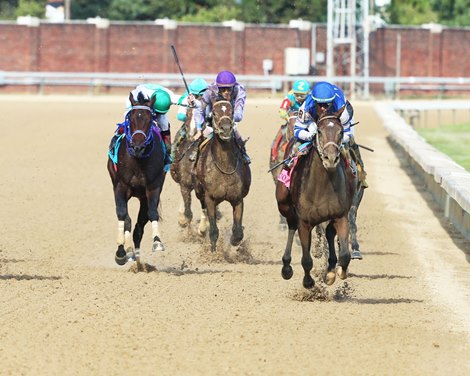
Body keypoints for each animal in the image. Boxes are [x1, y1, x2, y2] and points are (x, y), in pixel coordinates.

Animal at [107, 92, 166, 266]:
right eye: (131, 118)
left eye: (150, 119)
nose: (137, 146)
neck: (138, 160)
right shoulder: (120, 186)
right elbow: (122, 214)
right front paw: (120, 252)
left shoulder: (153, 187)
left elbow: (152, 213)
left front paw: (157, 242)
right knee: (128, 220)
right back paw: (127, 251)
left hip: (142, 197)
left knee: (139, 226)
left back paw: (138, 261)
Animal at [193, 100, 252, 253]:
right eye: (214, 113)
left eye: (232, 112)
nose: (225, 129)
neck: (224, 166)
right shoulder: (210, 198)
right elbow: (213, 229)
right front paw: (213, 251)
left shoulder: (238, 199)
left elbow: (238, 232)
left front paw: (234, 242)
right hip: (198, 191)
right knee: (202, 207)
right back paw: (202, 229)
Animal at [274, 108, 358, 288]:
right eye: (319, 131)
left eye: (341, 132)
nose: (331, 158)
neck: (322, 185)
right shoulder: (304, 222)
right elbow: (306, 260)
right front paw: (308, 282)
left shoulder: (341, 216)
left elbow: (345, 255)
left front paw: (337, 272)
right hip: (284, 203)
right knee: (291, 225)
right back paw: (286, 267)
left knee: (329, 233)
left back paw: (331, 268)